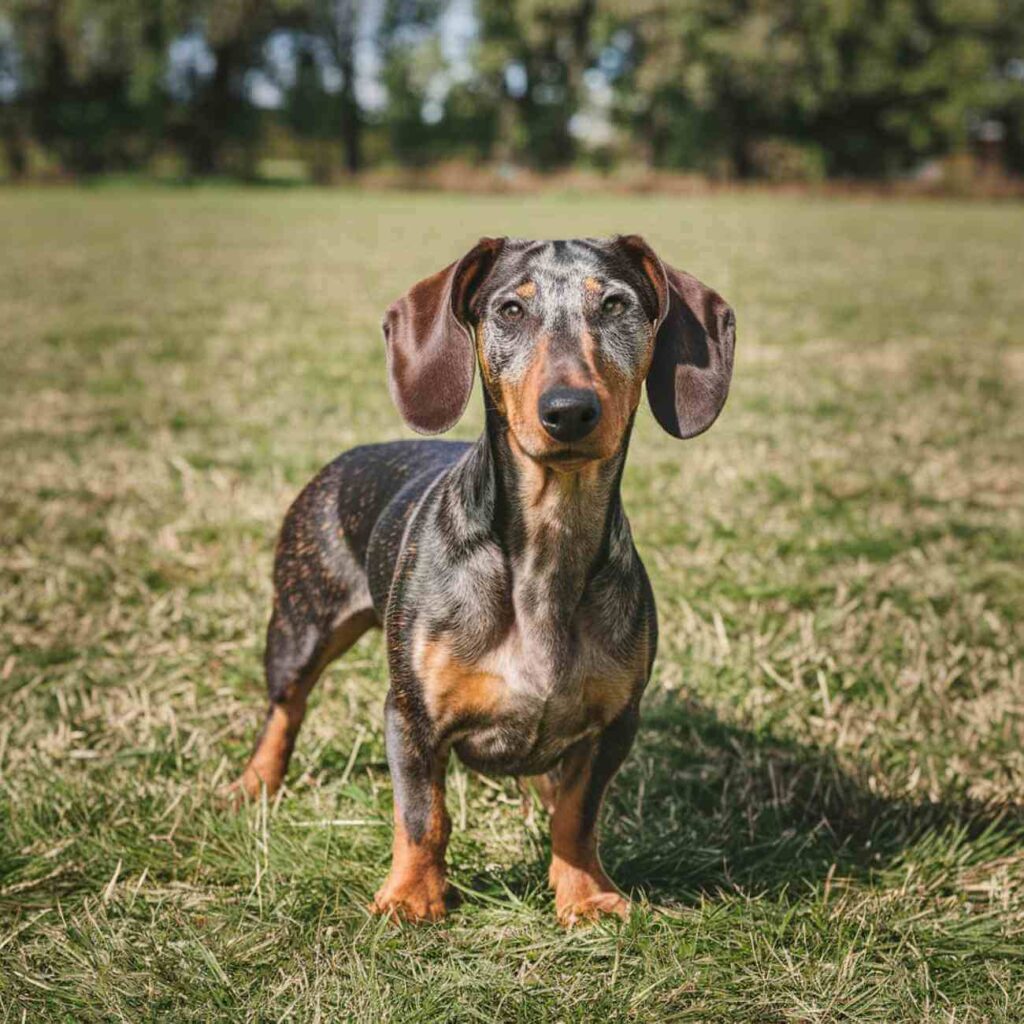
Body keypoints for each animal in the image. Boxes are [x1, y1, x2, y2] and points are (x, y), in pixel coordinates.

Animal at [230, 235, 737, 925]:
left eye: (615, 304)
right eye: (510, 310)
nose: (569, 411)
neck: (547, 548)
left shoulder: (616, 724)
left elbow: (579, 815)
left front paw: (585, 894)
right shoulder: (410, 716)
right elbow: (424, 816)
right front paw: (411, 897)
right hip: (301, 624)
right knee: (285, 709)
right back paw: (254, 784)